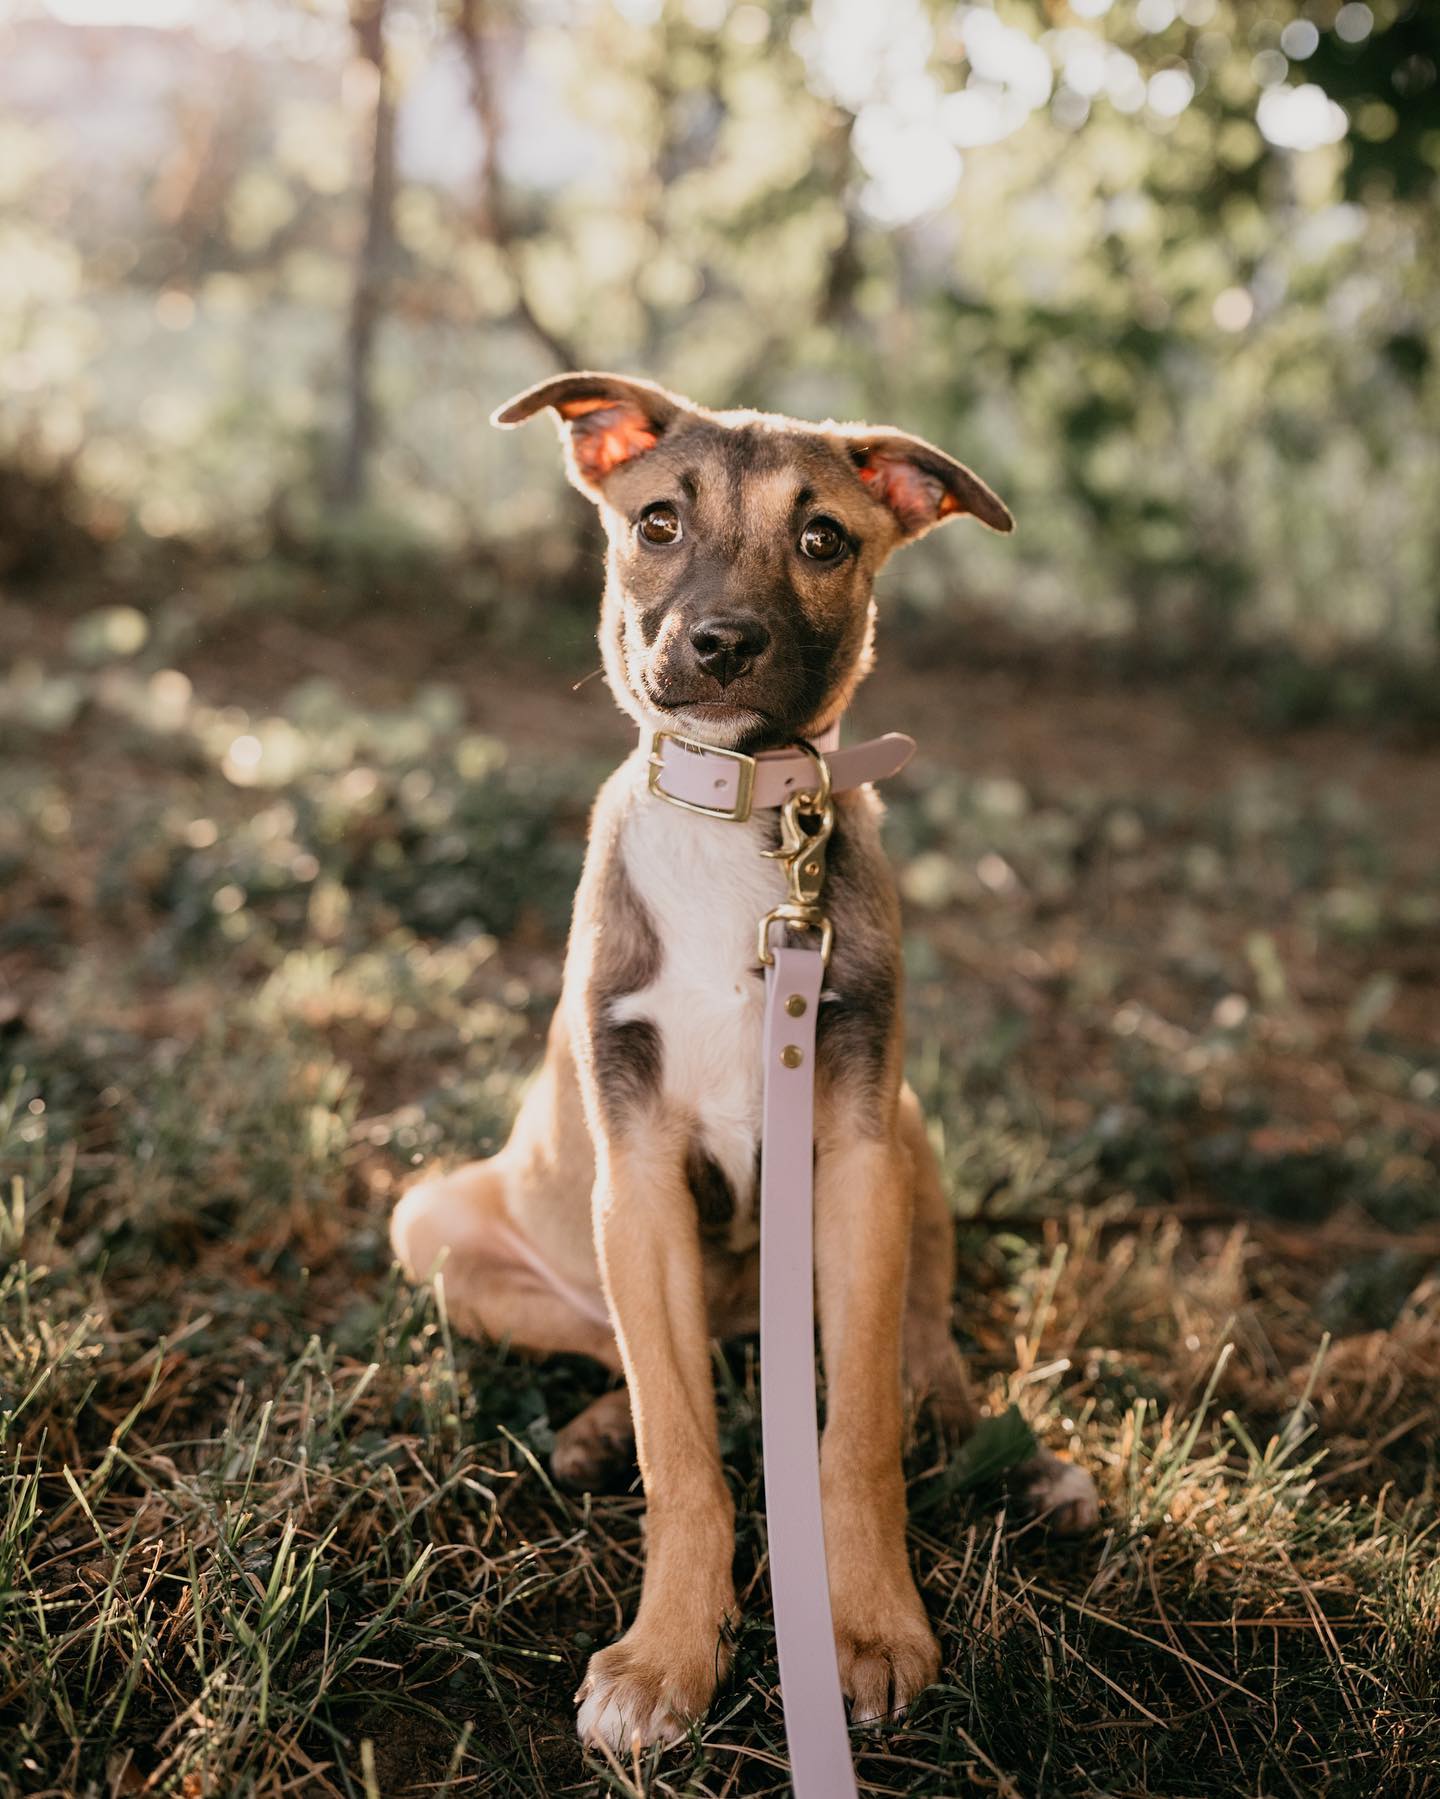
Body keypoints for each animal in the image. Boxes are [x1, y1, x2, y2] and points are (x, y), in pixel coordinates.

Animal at [388, 372, 1094, 1748]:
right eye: (657, 520)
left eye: (823, 537)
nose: (720, 644)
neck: (737, 818)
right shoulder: (639, 1170)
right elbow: (686, 1451)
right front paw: (669, 1652)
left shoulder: (857, 1159)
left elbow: (856, 1432)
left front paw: (864, 1624)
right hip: (438, 1219)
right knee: (641, 1352)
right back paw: (597, 1428)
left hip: (909, 1134)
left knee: (927, 1358)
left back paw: (1024, 1464)